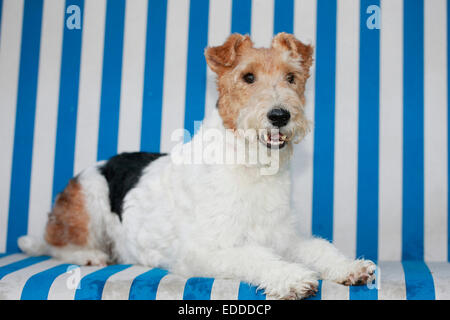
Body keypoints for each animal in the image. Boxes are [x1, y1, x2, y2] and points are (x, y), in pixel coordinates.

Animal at [18, 33, 376, 300]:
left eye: (291, 77)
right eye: (248, 76)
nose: (280, 116)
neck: (252, 165)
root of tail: (100, 163)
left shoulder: (284, 237)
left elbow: (319, 247)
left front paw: (350, 267)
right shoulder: (206, 250)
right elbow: (257, 256)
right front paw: (292, 278)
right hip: (87, 205)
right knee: (52, 246)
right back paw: (87, 255)